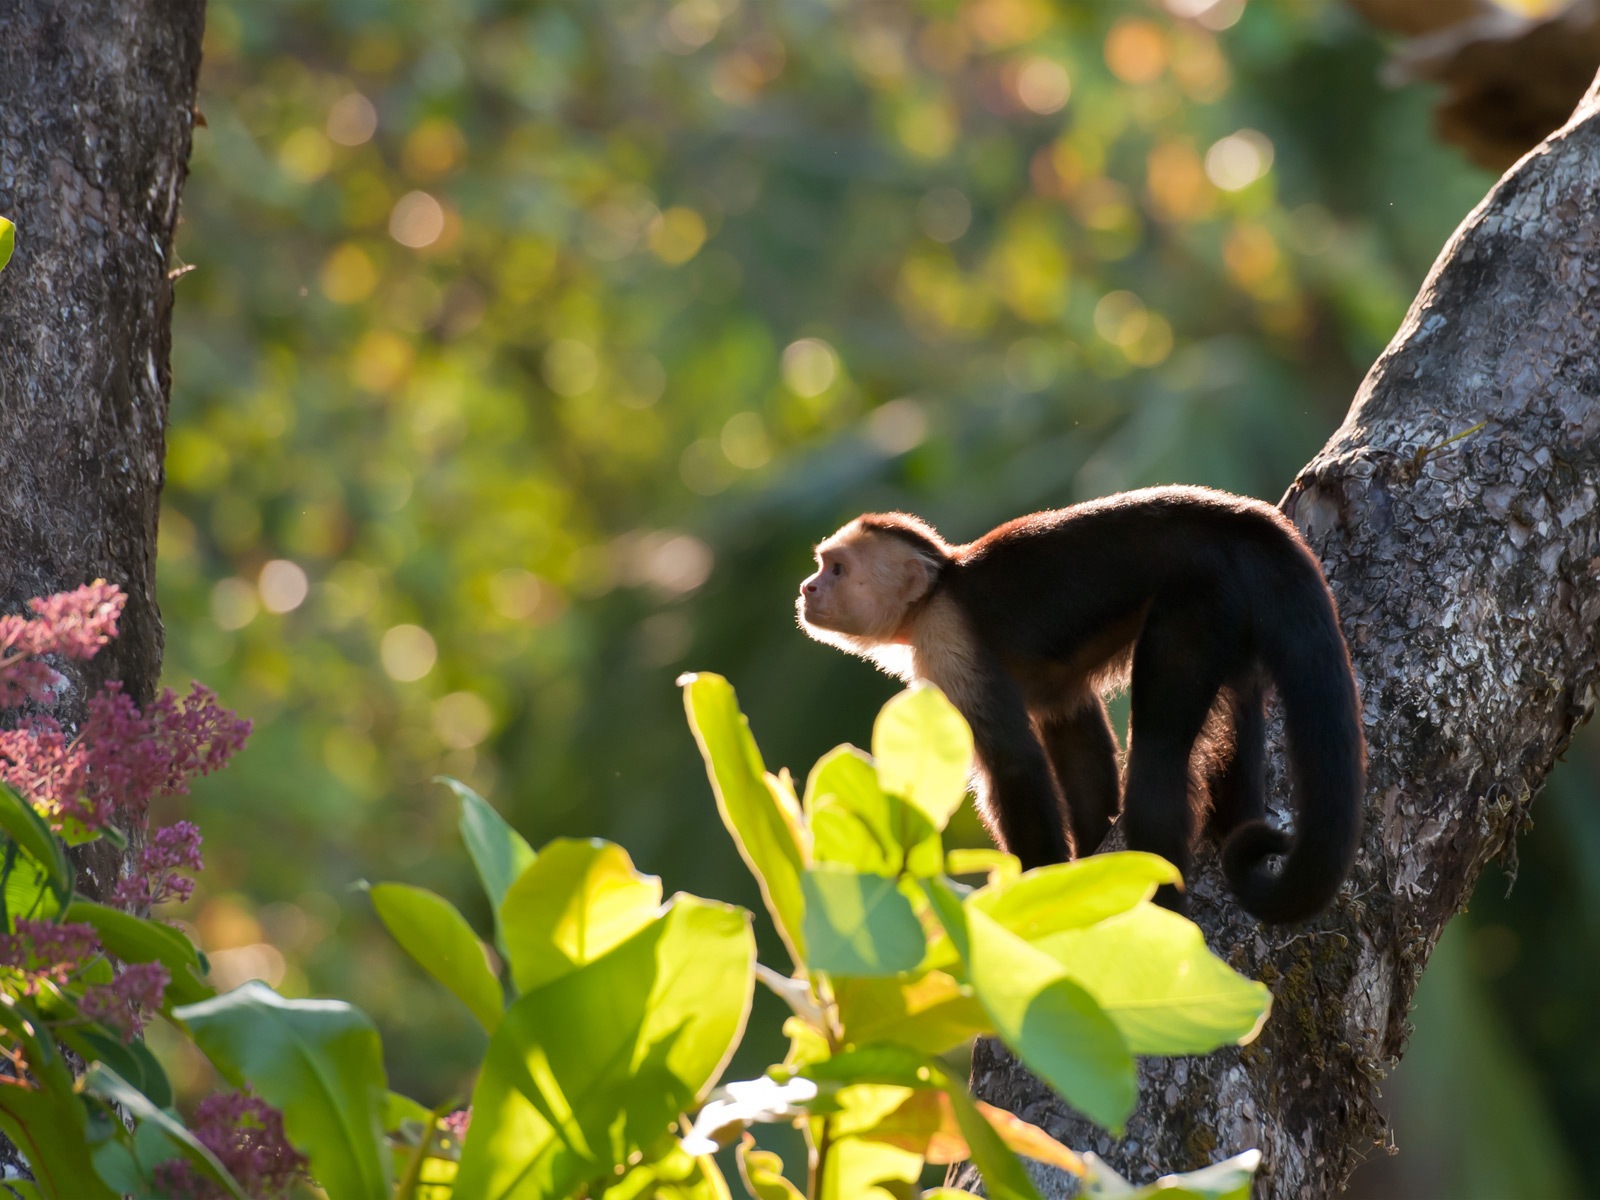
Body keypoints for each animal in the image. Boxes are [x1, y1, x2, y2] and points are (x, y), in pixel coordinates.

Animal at [800, 483, 1363, 928]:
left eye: (837, 570)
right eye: (821, 566)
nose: (807, 588)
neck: (937, 591)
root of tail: (1230, 516)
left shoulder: (946, 639)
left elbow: (1015, 767)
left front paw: (1033, 895)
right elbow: (1070, 726)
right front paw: (1089, 856)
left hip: (1199, 601)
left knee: (1158, 755)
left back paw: (1163, 908)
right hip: (1233, 613)